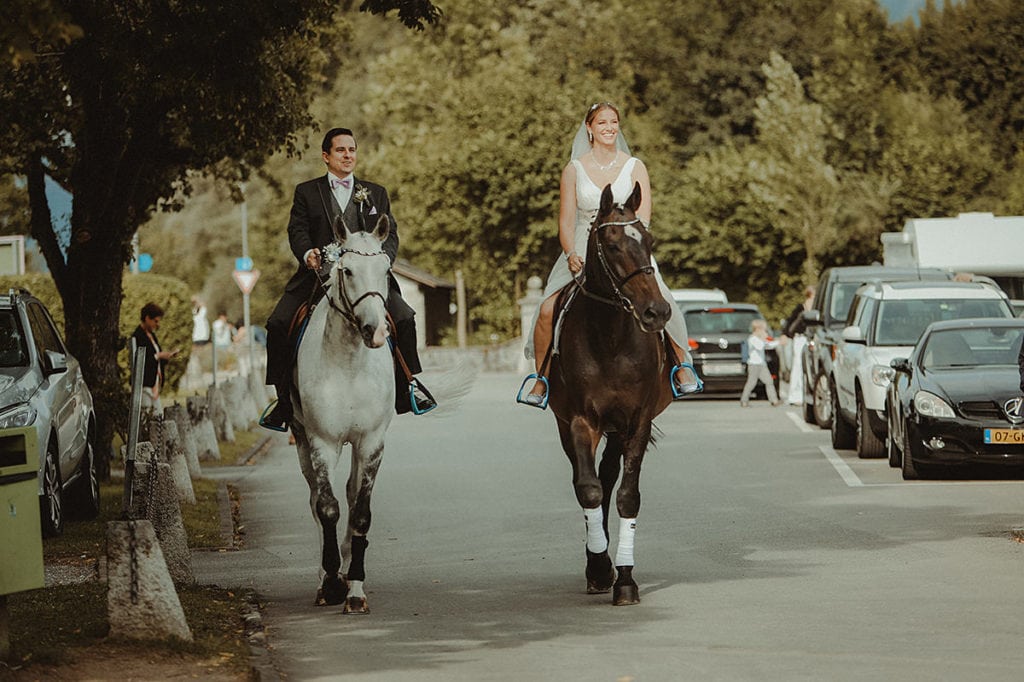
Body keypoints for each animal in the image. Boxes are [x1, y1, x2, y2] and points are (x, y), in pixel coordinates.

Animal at [548, 182, 675, 606]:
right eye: (614, 244)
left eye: (649, 241)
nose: (656, 312)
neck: (610, 338)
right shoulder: (580, 422)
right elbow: (588, 490)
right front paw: (602, 568)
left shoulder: (637, 421)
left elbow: (626, 496)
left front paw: (625, 578)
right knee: (588, 480)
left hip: (617, 429)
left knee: (607, 477)